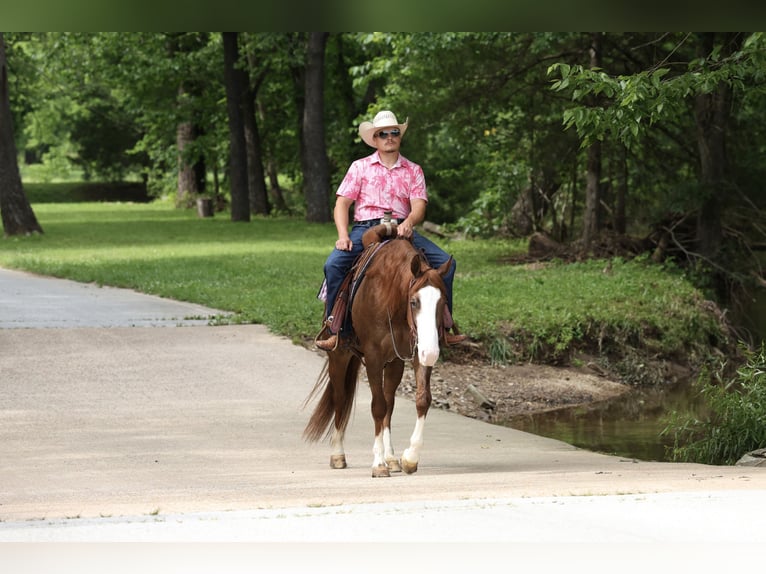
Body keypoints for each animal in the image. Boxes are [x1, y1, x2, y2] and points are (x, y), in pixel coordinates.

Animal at [303, 224, 452, 477]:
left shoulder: (416, 351)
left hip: (394, 362)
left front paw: (409, 458)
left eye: (442, 303)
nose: (432, 353)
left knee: (390, 402)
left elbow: (421, 400)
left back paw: (392, 458)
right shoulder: (373, 357)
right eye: (414, 302)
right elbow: (377, 406)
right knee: (341, 398)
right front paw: (379, 464)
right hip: (339, 355)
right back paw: (338, 454)